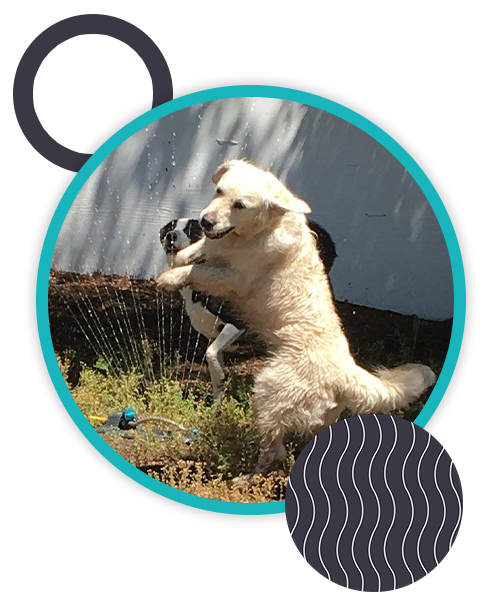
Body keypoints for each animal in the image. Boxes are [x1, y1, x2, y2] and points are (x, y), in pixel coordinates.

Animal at [161, 217, 336, 398]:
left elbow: (209, 353)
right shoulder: (213, 334)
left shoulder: (235, 324)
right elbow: (215, 370)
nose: (170, 235)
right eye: (169, 227)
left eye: (191, 229)